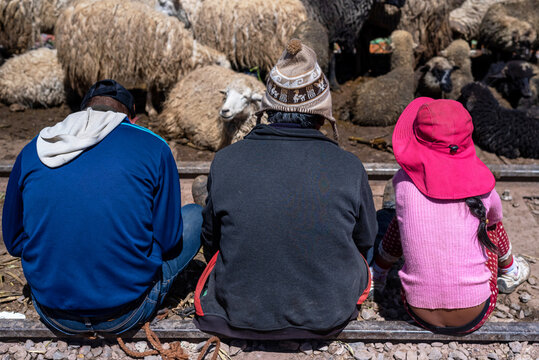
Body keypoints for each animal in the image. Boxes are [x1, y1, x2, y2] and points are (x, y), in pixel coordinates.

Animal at [56, 0, 231, 116]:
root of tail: (69, 10)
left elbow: (152, 87)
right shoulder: (151, 62)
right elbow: (150, 88)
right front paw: (151, 109)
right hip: (85, 58)